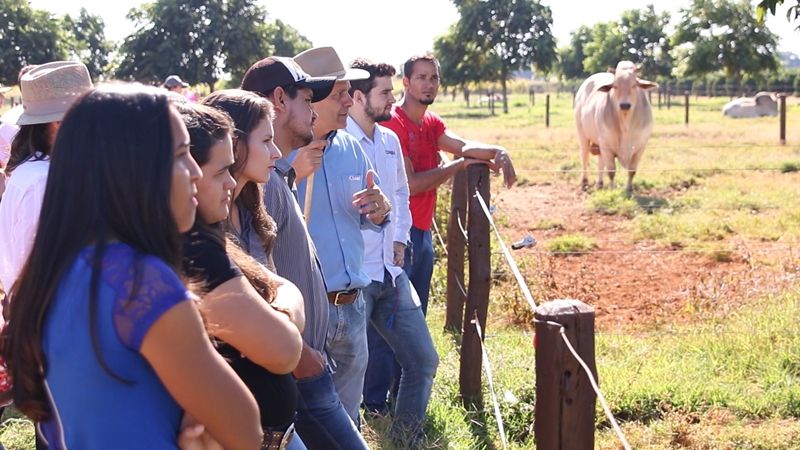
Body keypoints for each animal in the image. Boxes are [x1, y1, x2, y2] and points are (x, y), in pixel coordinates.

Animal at [576, 60, 656, 193]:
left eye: (634, 85)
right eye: (615, 86)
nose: (625, 105)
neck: (625, 123)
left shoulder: (640, 147)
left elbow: (632, 170)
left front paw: (629, 189)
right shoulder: (607, 144)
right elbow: (611, 171)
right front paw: (612, 189)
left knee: (600, 161)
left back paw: (600, 184)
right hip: (583, 135)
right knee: (584, 158)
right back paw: (584, 182)